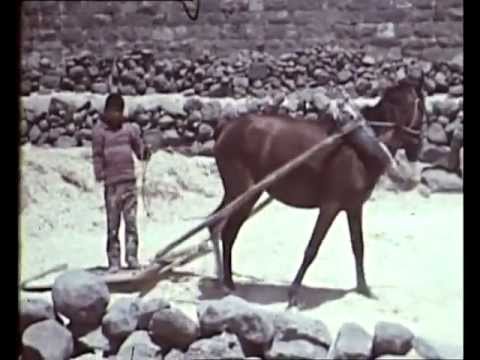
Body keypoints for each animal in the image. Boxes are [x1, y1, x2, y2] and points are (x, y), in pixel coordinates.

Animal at [209, 81, 424, 306]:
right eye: (423, 111)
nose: (419, 147)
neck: (362, 145)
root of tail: (226, 127)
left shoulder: (354, 206)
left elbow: (358, 246)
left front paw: (364, 288)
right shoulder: (330, 206)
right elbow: (312, 248)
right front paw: (294, 292)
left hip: (234, 193)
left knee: (214, 224)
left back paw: (220, 279)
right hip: (244, 194)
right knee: (228, 232)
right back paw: (228, 283)